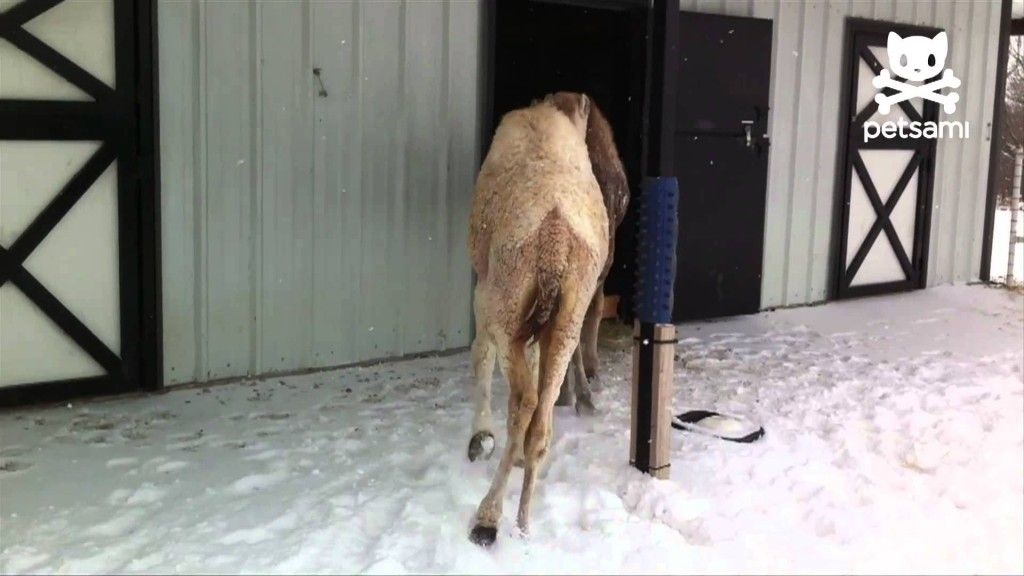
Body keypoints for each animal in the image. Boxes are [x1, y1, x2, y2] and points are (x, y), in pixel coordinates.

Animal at [465, 92, 609, 546]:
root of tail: (555, 243)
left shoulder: (485, 295)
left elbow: (480, 355)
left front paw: (480, 437)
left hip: (507, 304)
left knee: (524, 402)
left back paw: (487, 518)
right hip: (567, 317)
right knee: (541, 417)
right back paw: (524, 522)